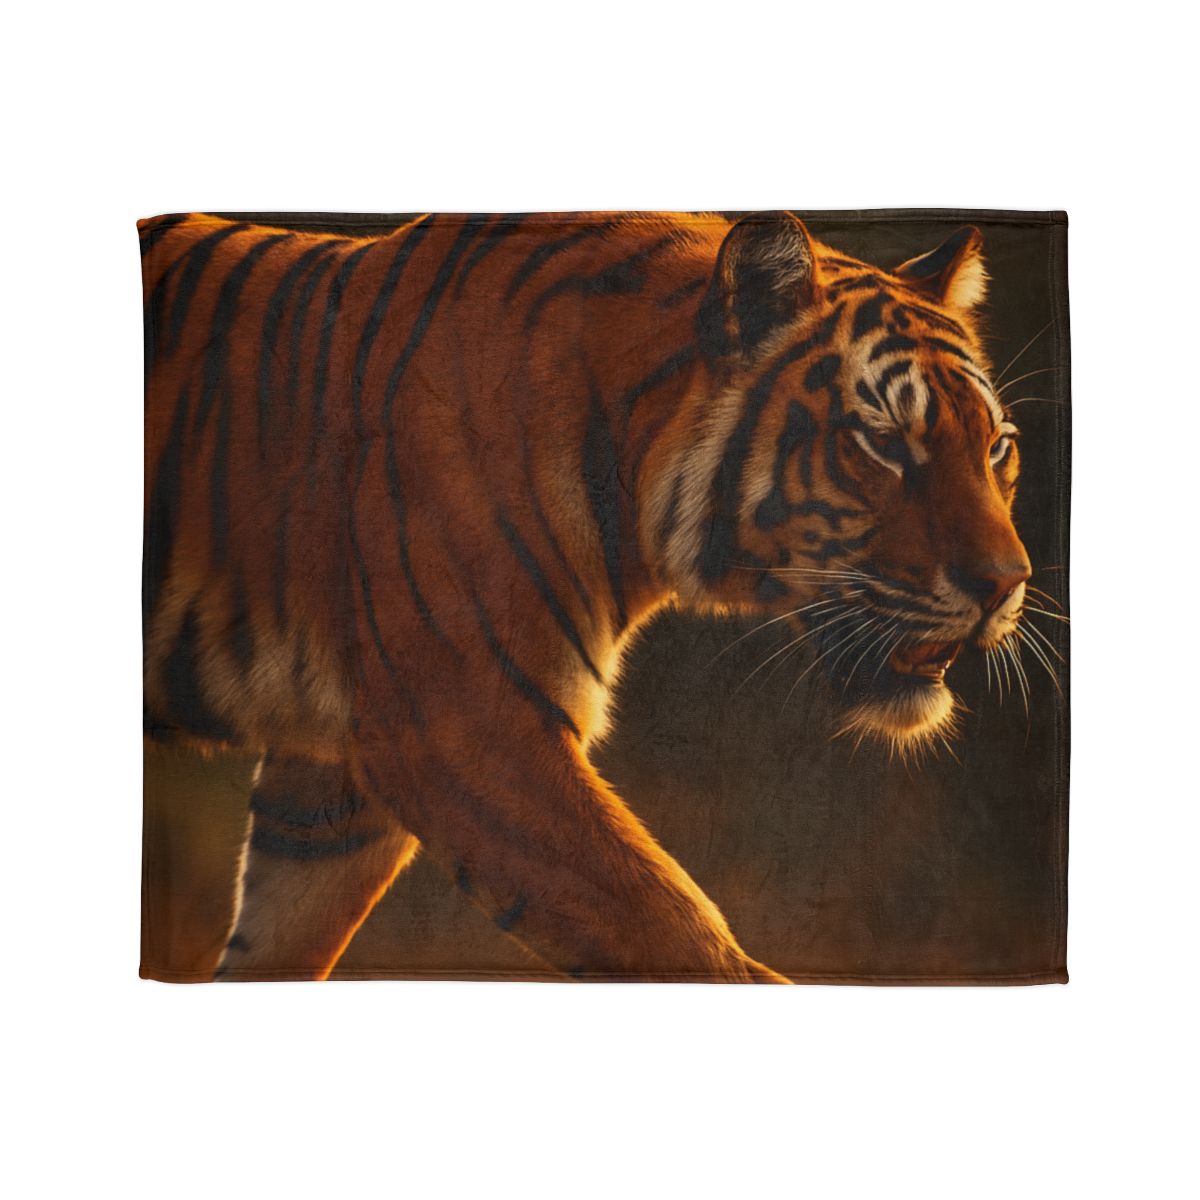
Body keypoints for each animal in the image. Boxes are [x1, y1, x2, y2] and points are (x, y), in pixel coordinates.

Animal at [141, 209, 1032, 983]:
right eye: (883, 443)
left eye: (997, 447)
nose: (1007, 583)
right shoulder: (469, 733)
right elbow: (678, 930)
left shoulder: (331, 786)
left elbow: (277, 940)